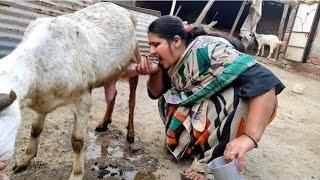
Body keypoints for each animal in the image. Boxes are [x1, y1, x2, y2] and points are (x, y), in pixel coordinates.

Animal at [0, 2, 136, 180]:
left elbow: (77, 141)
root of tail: (125, 11)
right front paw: (25, 158)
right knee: (112, 93)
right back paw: (104, 123)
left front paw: (77, 173)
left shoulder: (83, 99)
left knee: (132, 99)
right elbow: (35, 129)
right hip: (111, 71)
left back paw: (131, 132)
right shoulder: (42, 99)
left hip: (136, 60)